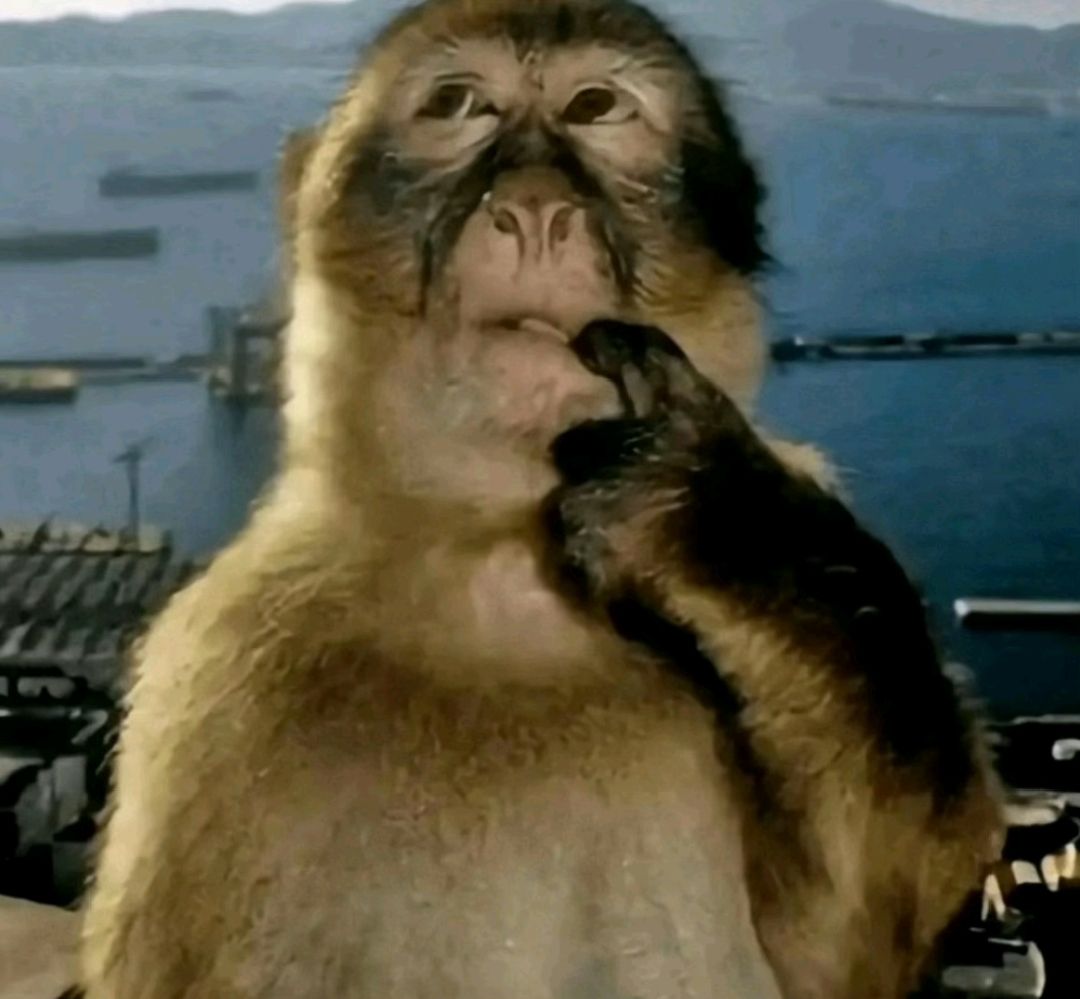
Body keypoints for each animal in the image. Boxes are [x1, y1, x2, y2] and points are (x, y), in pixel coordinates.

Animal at [77, 1, 1005, 997]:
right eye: (457, 105)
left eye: (597, 106)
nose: (533, 210)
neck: (502, 568)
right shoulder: (211, 685)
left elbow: (854, 948)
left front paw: (717, 516)